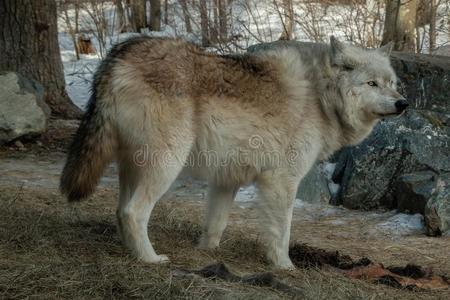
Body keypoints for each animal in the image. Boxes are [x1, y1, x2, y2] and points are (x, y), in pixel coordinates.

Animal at [59, 35, 408, 270]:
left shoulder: (227, 179)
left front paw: (206, 254)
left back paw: (131, 251)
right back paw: (151, 259)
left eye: (393, 83)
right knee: (134, 212)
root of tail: (118, 54)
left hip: (134, 166)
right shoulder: (281, 182)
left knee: (121, 211)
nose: (403, 103)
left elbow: (216, 225)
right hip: (166, 165)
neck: (322, 97)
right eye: (372, 84)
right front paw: (284, 267)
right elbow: (282, 233)